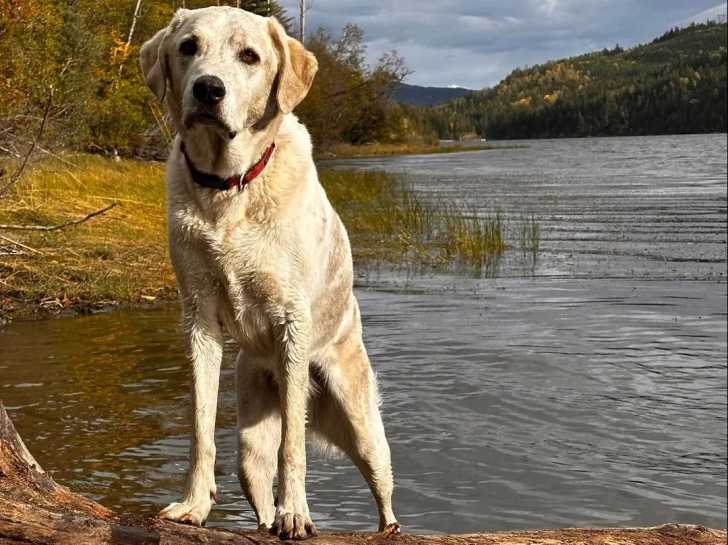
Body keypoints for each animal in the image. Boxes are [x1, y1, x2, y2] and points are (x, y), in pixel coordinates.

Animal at [139, 7, 399, 540]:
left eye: (250, 56)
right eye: (188, 46)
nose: (208, 89)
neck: (228, 189)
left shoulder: (292, 320)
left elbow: (294, 448)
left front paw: (296, 512)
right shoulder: (198, 316)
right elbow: (200, 425)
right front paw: (193, 504)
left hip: (362, 422)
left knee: (382, 487)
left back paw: (386, 528)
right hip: (251, 430)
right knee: (256, 478)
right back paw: (261, 522)